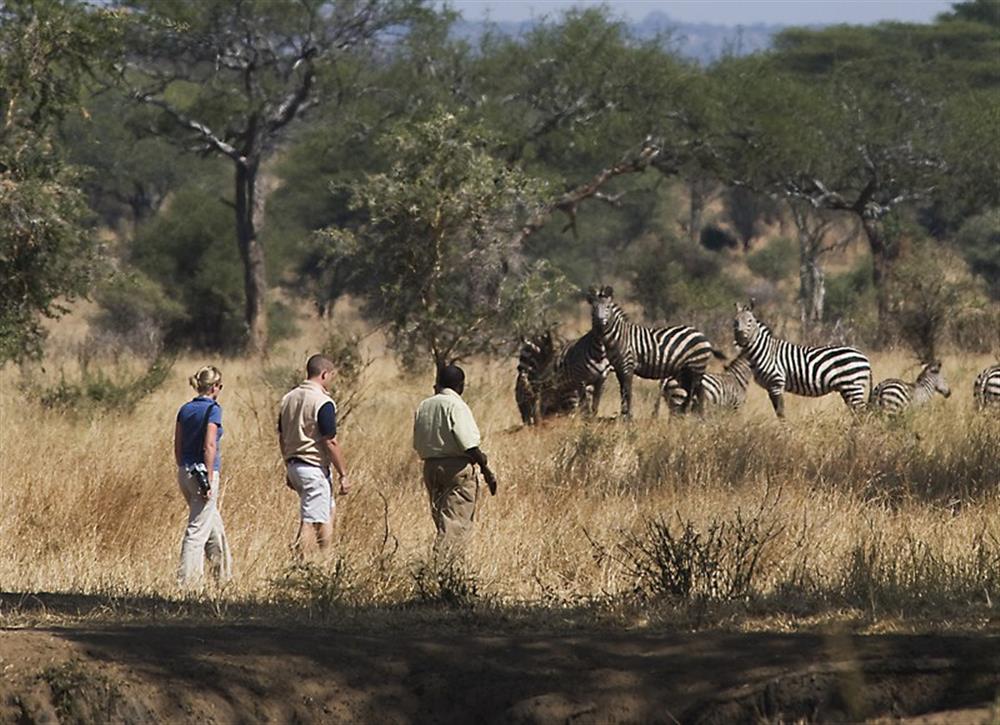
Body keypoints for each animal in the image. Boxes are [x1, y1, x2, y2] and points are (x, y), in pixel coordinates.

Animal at [732, 296, 872, 416]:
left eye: (750, 321)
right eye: (735, 321)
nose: (739, 338)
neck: (764, 350)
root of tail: (864, 357)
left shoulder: (776, 383)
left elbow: (780, 412)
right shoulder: (769, 387)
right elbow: (778, 411)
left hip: (853, 386)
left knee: (862, 413)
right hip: (848, 389)